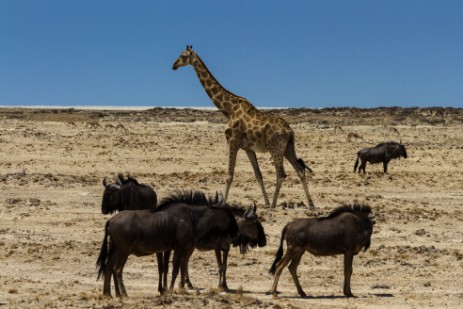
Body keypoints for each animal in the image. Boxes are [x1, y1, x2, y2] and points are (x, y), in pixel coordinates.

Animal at [172, 45, 318, 208]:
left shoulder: (233, 142)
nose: (174, 65)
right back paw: (310, 204)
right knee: (299, 169)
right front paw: (265, 202)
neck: (228, 110)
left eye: (183, 56)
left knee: (281, 174)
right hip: (288, 148)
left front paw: (223, 203)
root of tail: (289, 130)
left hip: (275, 148)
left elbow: (230, 175)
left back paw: (274, 204)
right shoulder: (248, 148)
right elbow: (258, 175)